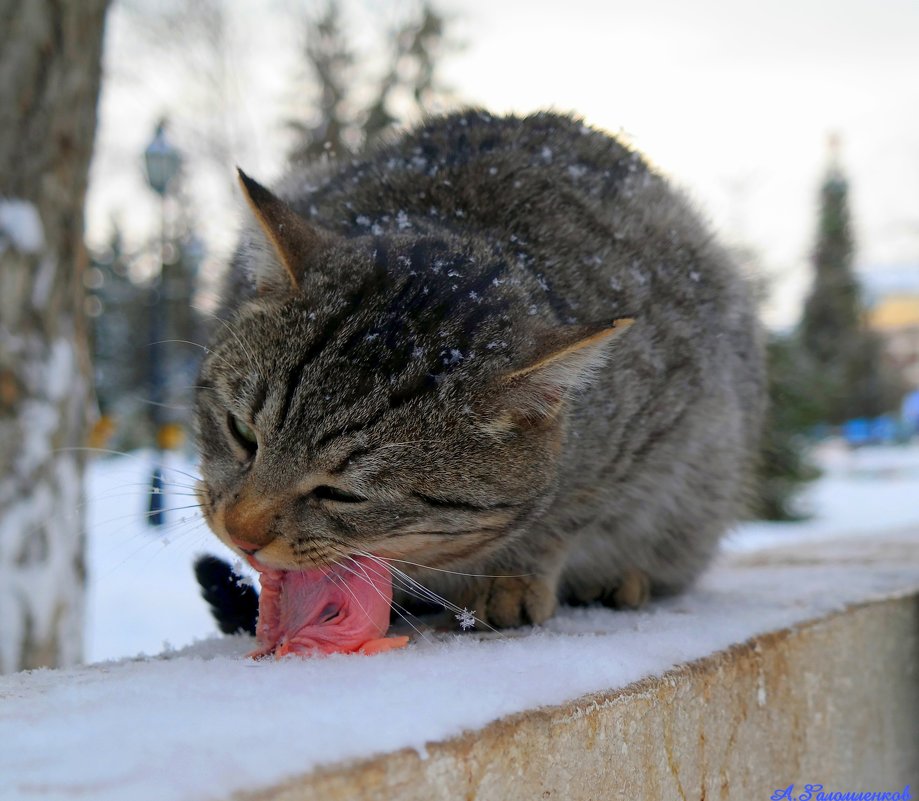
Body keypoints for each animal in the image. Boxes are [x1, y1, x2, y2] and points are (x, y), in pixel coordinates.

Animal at [196, 109, 768, 628]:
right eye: (241, 431)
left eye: (342, 494)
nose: (240, 533)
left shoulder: (654, 431)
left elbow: (561, 517)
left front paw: (513, 578)